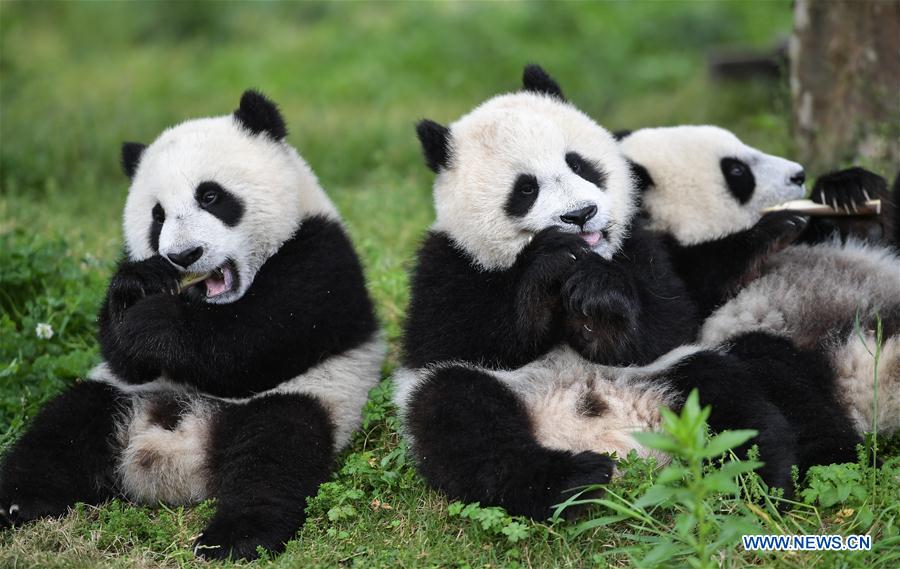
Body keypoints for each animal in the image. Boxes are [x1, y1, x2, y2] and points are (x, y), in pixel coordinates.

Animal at [0, 91, 385, 560]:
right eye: (157, 215)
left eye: (211, 196)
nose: (184, 256)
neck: (208, 302)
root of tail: (177, 455)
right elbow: (125, 357)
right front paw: (137, 291)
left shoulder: (322, 258)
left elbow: (251, 344)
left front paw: (150, 321)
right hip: (114, 397)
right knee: (63, 427)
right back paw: (17, 502)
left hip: (310, 398)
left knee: (275, 454)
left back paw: (234, 537)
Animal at [392, 66, 822, 519]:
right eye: (525, 189)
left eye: (579, 164)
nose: (581, 214)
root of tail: (609, 435)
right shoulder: (447, 262)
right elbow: (461, 336)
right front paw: (547, 264)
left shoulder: (642, 246)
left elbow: (667, 320)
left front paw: (597, 302)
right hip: (487, 393)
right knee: (462, 419)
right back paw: (573, 479)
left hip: (671, 376)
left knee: (729, 400)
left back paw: (757, 486)